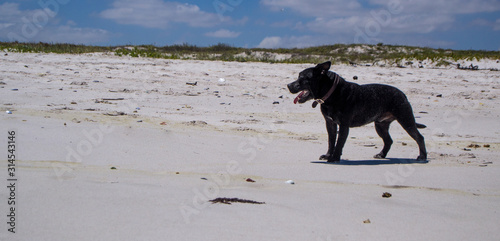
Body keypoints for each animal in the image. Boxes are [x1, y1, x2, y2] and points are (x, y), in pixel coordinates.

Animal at [290, 60, 426, 162]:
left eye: (302, 77)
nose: (289, 85)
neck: (331, 93)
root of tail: (403, 94)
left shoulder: (344, 125)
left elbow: (339, 143)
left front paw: (334, 158)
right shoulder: (330, 124)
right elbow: (331, 141)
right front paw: (328, 155)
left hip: (406, 120)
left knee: (419, 137)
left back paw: (422, 156)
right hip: (380, 125)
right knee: (388, 140)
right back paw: (381, 155)